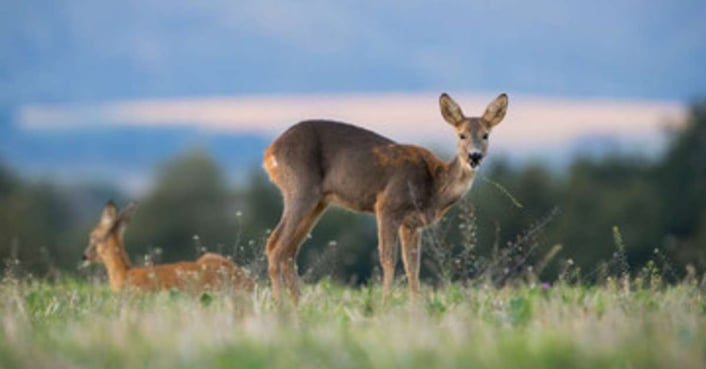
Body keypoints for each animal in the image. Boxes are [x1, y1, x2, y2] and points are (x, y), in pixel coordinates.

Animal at [262, 92, 506, 302]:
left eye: (485, 135)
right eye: (461, 135)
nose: (474, 156)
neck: (433, 185)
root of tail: (269, 153)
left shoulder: (411, 224)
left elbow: (412, 266)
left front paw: (416, 309)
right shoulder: (387, 206)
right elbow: (388, 259)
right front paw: (385, 303)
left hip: (319, 202)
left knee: (289, 250)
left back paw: (298, 305)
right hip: (300, 189)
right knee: (275, 244)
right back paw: (281, 307)